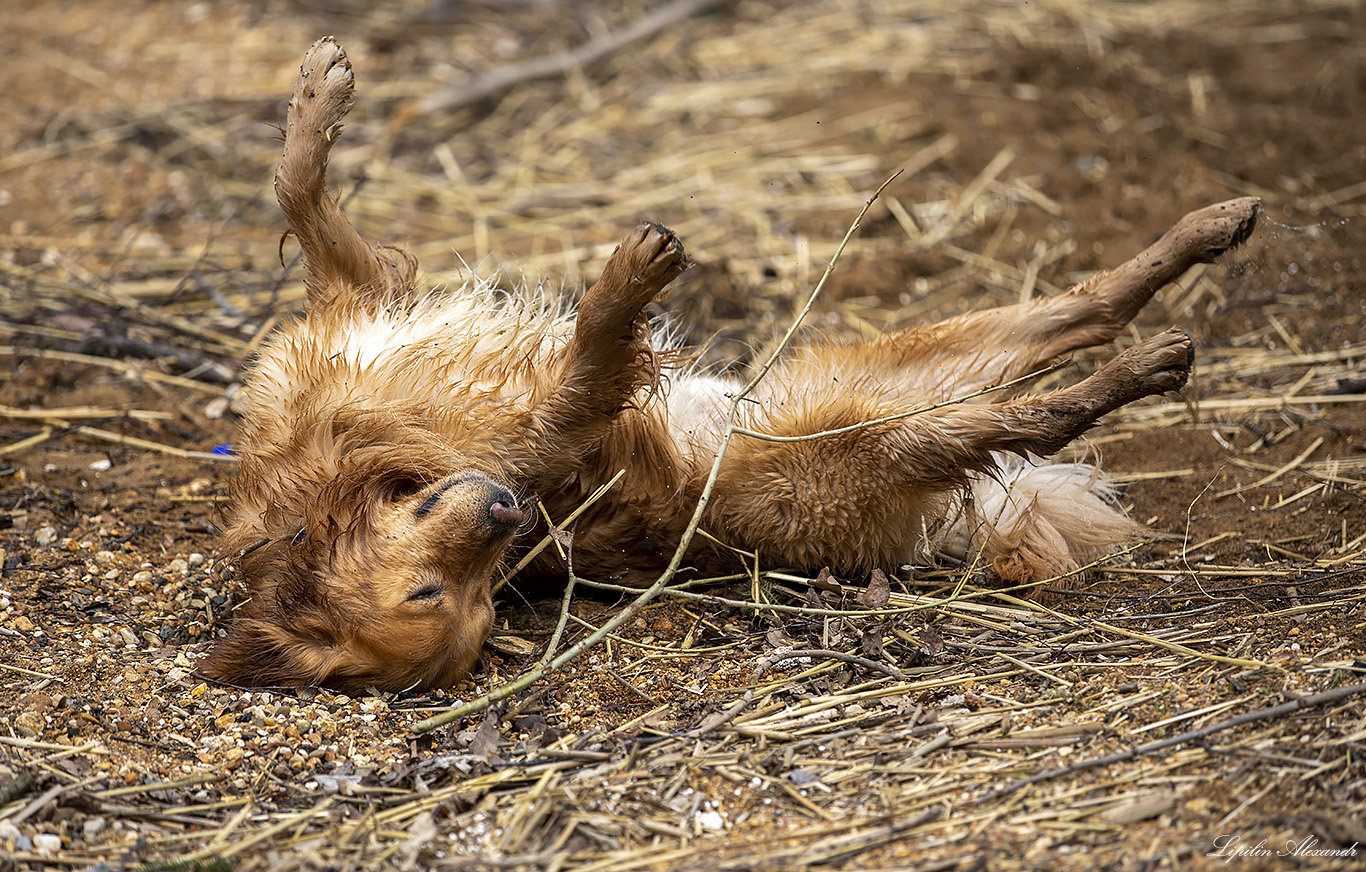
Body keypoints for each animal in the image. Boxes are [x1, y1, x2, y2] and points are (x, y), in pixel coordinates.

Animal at [198, 39, 1251, 697]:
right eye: (444, 600)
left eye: (472, 589)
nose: (513, 513)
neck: (334, 476)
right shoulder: (556, 427)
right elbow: (594, 355)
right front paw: (630, 280)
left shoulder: (362, 297)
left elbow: (297, 193)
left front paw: (317, 95)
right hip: (885, 437)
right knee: (1039, 410)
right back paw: (1153, 361)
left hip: (923, 355)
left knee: (1087, 304)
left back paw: (1213, 227)